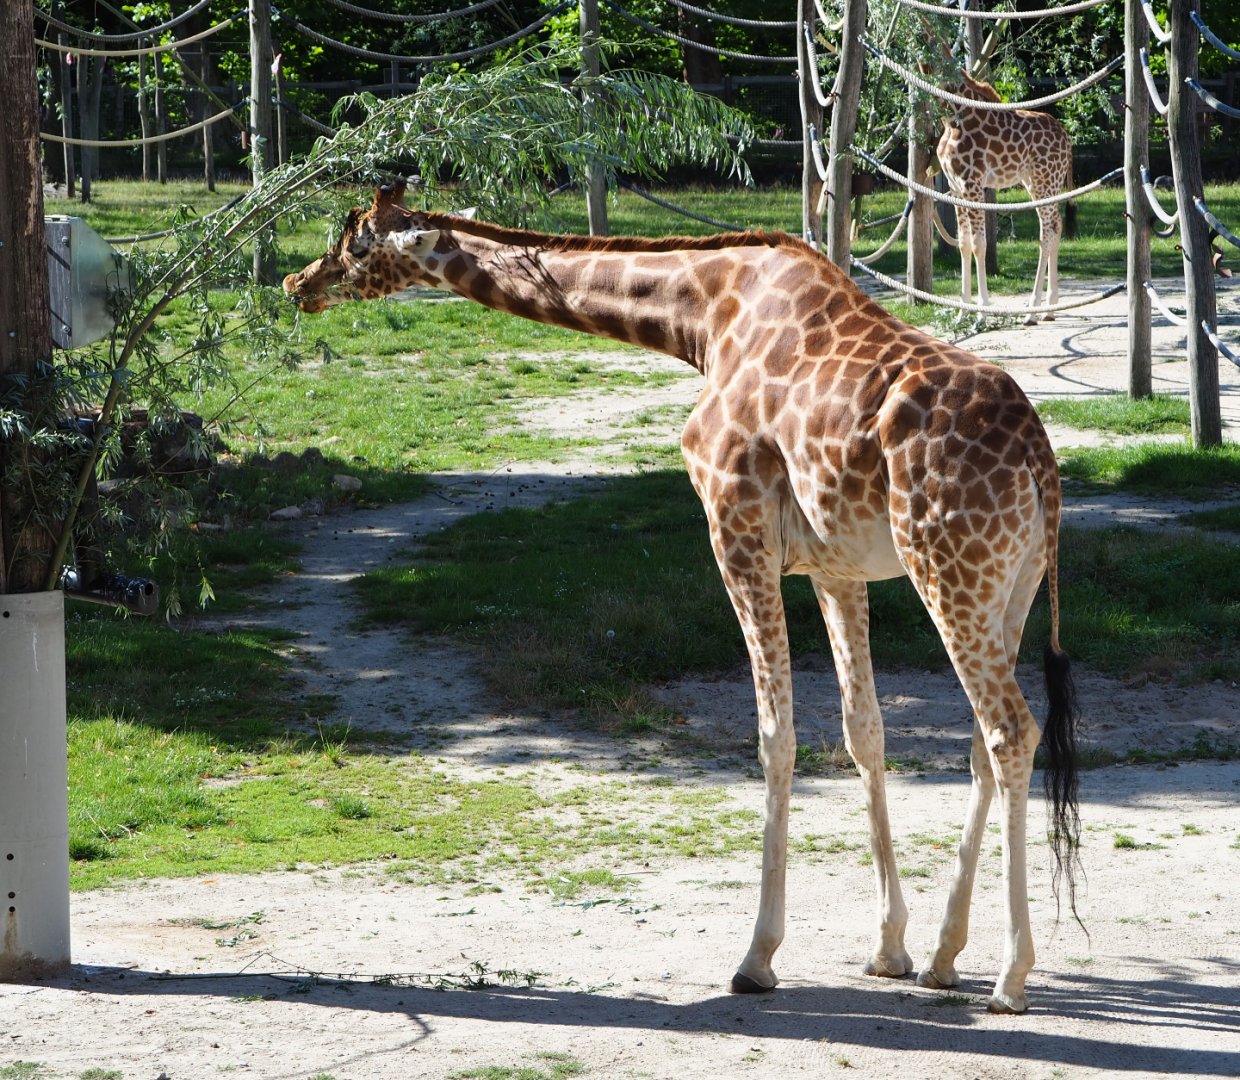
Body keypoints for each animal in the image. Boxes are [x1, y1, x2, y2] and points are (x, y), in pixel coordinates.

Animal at [284, 184, 1081, 1014]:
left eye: (355, 243)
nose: (298, 283)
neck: (704, 320)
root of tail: (1040, 460)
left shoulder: (733, 525)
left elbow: (774, 737)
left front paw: (757, 957)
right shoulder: (836, 567)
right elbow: (864, 732)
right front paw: (890, 947)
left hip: (948, 567)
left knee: (1010, 731)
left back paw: (1011, 977)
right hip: (1009, 584)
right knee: (983, 741)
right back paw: (946, 957)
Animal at [936, 71, 1076, 325]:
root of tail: (1067, 140)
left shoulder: (973, 185)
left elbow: (979, 244)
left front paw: (982, 312)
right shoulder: (956, 188)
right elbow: (963, 243)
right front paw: (962, 312)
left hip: (1045, 181)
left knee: (1046, 232)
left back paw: (1032, 310)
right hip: (1038, 183)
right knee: (1056, 224)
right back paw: (1049, 307)